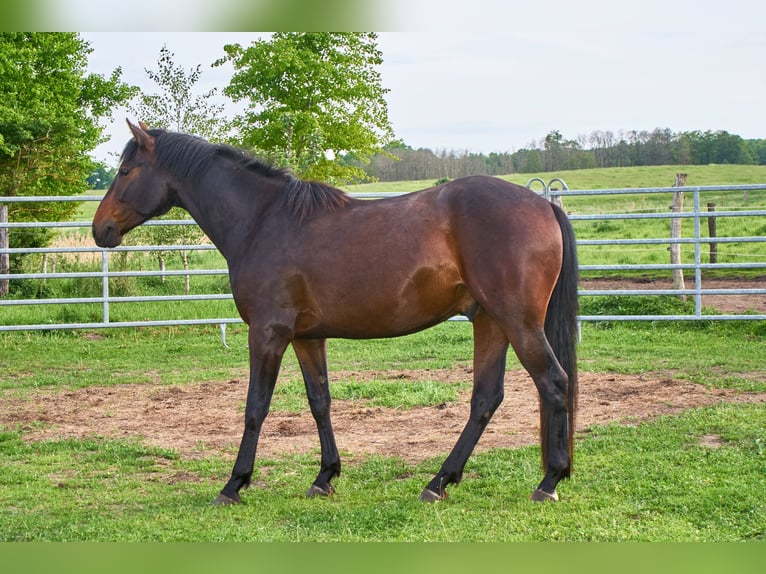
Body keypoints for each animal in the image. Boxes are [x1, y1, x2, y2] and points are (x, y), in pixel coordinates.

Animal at [92, 120, 579, 505]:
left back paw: (548, 482)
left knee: (554, 383)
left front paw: (234, 484)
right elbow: (320, 402)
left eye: (125, 170)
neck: (263, 221)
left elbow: (256, 406)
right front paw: (325, 476)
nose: (101, 230)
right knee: (485, 398)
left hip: (518, 323)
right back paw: (439, 481)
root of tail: (543, 205)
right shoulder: (307, 337)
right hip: (489, 321)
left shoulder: (267, 334)